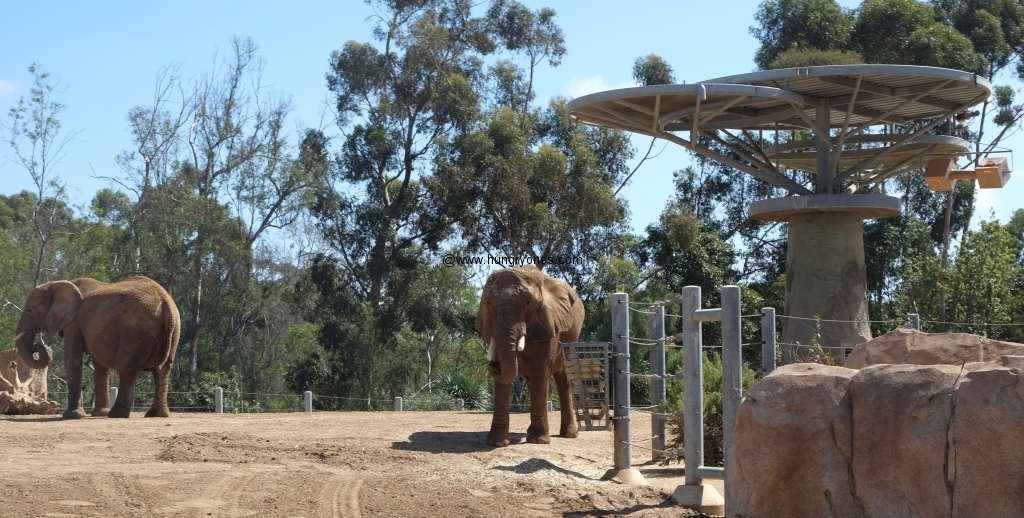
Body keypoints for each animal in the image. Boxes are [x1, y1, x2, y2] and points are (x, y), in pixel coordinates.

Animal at [13, 274, 182, 417]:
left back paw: (117, 415)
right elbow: (100, 365)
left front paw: (72, 415)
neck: (59, 283)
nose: (35, 347)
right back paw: (157, 414)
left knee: (127, 369)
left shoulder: (74, 321)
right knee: (163, 370)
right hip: (174, 330)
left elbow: (73, 359)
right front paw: (99, 413)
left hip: (135, 332)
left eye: (29, 311)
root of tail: (166, 305)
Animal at [473, 264, 585, 446]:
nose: (494, 365)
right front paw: (497, 443)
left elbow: (540, 369)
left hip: (570, 339)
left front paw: (539, 441)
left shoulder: (549, 321)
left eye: (528, 303)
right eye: (488, 302)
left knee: (561, 377)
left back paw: (569, 434)